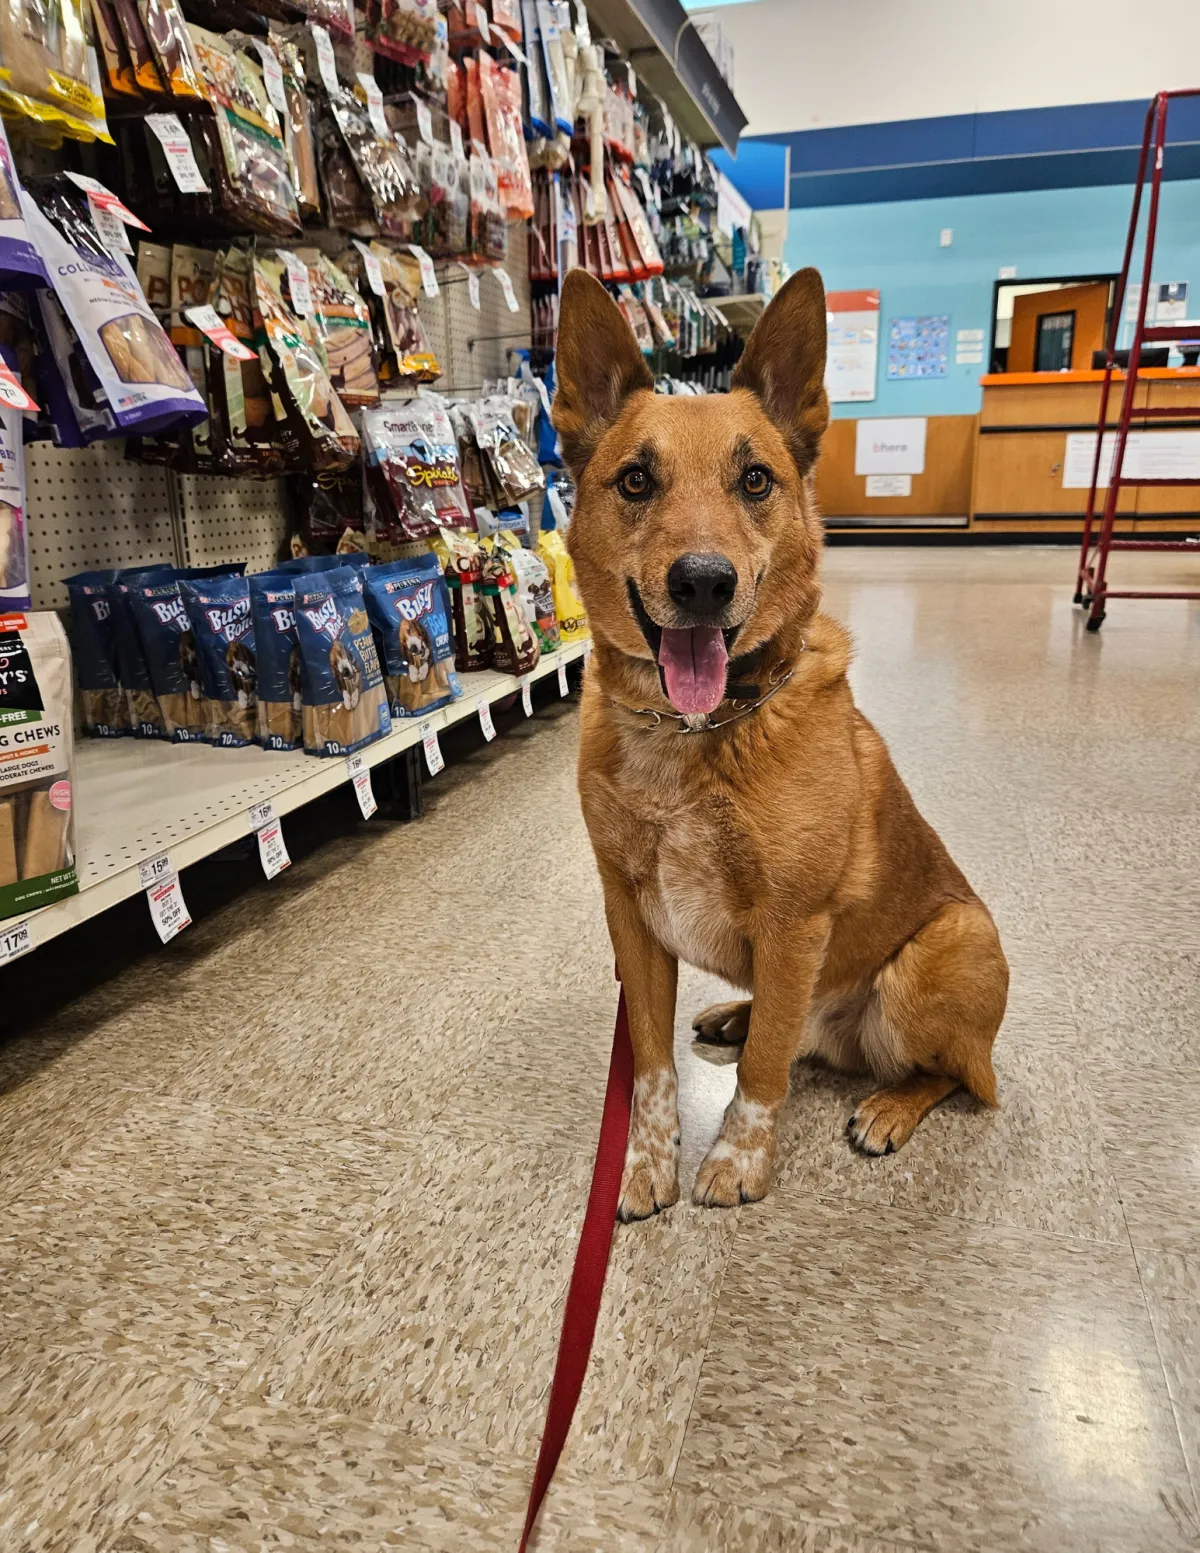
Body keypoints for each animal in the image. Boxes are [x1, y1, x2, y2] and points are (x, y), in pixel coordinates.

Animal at [555, 267, 1005, 1217]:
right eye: (636, 480)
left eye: (755, 479)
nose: (703, 582)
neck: (695, 733)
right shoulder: (632, 922)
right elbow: (652, 1065)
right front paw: (647, 1159)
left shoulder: (796, 925)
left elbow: (764, 1070)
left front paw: (737, 1158)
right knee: (785, 1022)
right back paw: (739, 1013)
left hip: (938, 953)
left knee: (951, 1074)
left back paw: (890, 1105)